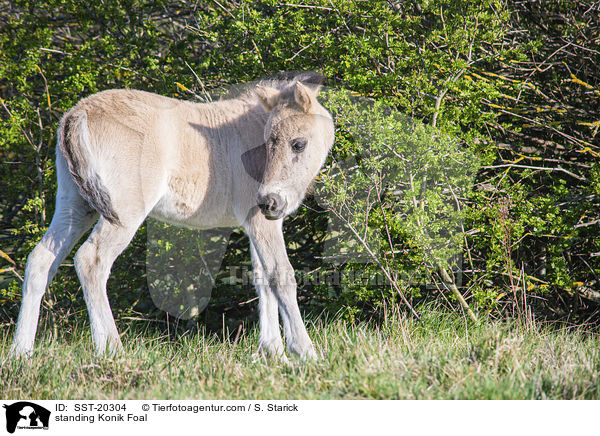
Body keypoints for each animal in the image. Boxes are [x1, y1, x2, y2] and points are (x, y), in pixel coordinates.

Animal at [9, 71, 336, 360]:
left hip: (76, 206)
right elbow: (281, 275)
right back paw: (111, 350)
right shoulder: (259, 220)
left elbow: (261, 278)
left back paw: (20, 353)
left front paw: (273, 353)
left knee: (40, 260)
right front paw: (304, 352)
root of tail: (77, 114)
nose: (270, 201)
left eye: (298, 144)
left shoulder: (258, 223)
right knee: (91, 260)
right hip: (123, 212)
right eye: (271, 142)